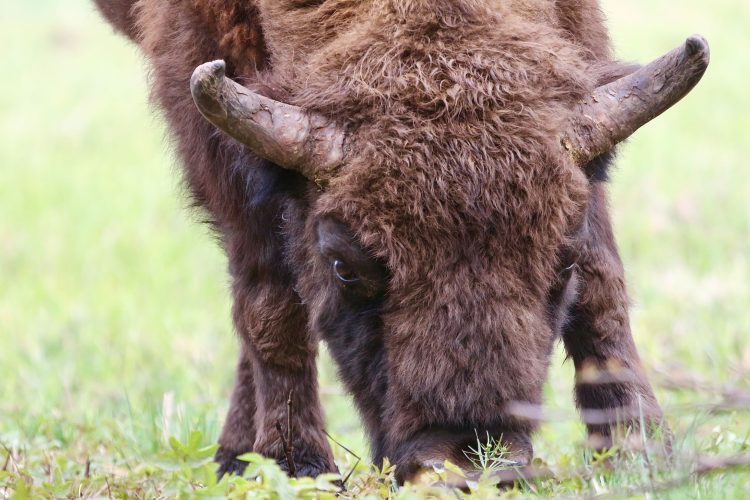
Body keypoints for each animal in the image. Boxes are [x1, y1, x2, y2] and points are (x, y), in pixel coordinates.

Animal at [94, 0, 708, 483]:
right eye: (343, 266)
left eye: (563, 262)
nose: (465, 464)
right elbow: (269, 302)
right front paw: (299, 469)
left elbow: (604, 286)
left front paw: (640, 453)